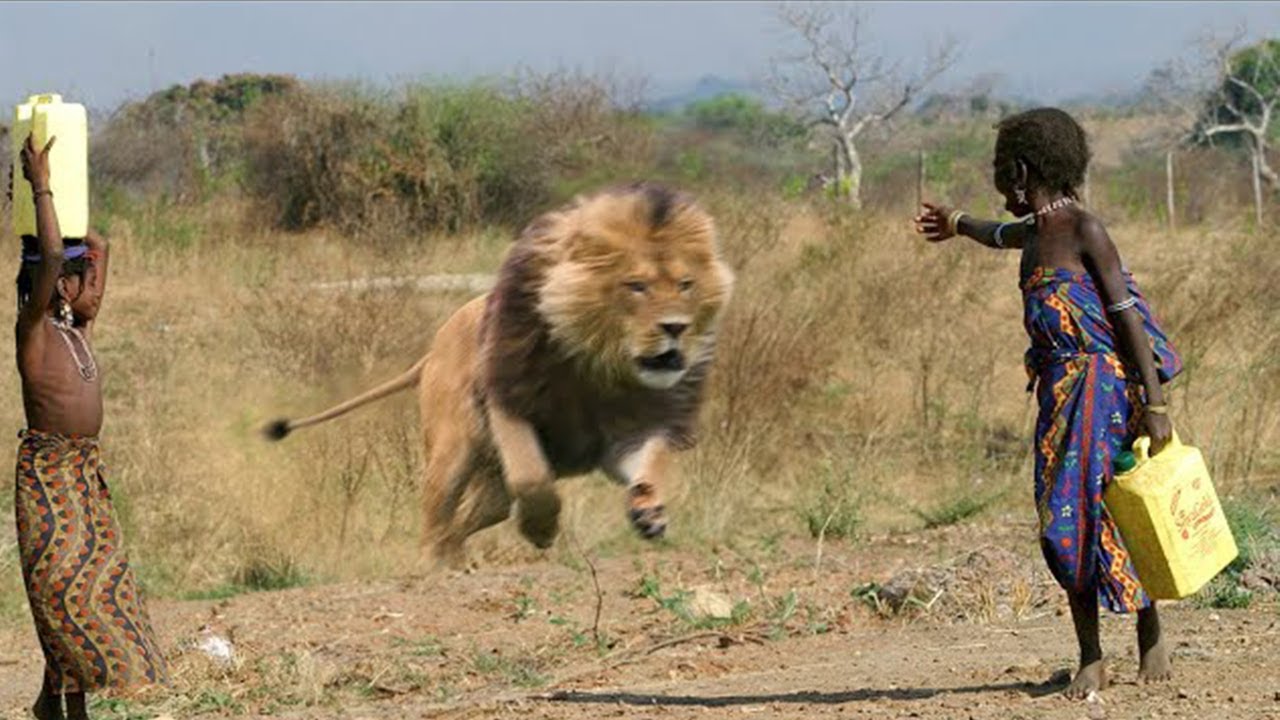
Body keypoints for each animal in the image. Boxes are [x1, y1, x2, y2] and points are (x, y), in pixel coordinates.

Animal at [264, 183, 734, 567]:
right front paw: (541, 530)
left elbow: (650, 462)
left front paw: (648, 512)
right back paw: (433, 565)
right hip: (451, 452)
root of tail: (431, 351)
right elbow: (532, 478)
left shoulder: (627, 431)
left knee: (464, 519)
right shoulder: (510, 403)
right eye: (636, 286)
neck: (599, 366)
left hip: (491, 488)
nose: (676, 327)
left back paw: (456, 557)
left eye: (686, 284)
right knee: (436, 517)